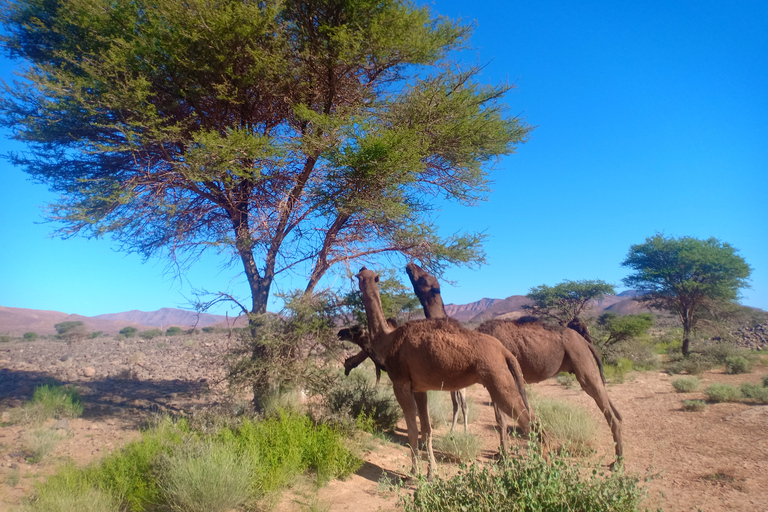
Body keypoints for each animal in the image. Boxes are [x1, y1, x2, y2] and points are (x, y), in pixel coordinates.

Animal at [354, 268, 540, 480]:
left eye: (362, 277)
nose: (360, 270)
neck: (387, 340)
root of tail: (505, 351)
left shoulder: (400, 383)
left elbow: (412, 430)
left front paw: (413, 473)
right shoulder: (419, 388)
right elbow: (426, 429)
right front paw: (431, 472)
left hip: (498, 379)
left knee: (529, 423)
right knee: (533, 421)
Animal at [404, 262, 620, 462]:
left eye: (424, 277)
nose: (410, 265)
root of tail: (586, 342)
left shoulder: (497, 376)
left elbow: (501, 420)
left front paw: (504, 456)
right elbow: (503, 419)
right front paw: (503, 453)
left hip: (582, 363)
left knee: (609, 412)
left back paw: (617, 464)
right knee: (614, 410)